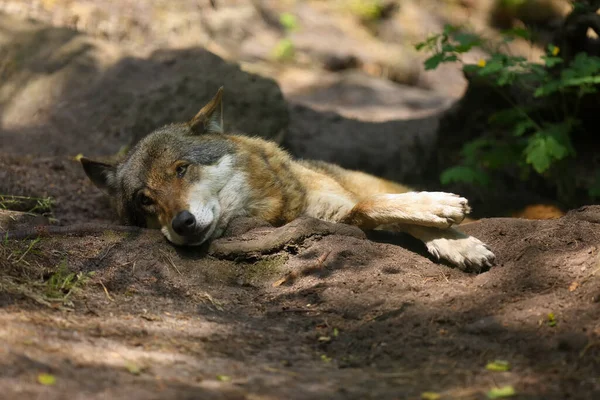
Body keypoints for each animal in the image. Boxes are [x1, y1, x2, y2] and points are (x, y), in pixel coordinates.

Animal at [81, 86, 496, 270]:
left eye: (182, 169)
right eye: (144, 200)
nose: (182, 223)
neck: (281, 206)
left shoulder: (343, 202)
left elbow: (387, 206)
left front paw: (451, 232)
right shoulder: (343, 217)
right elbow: (373, 208)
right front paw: (447, 226)